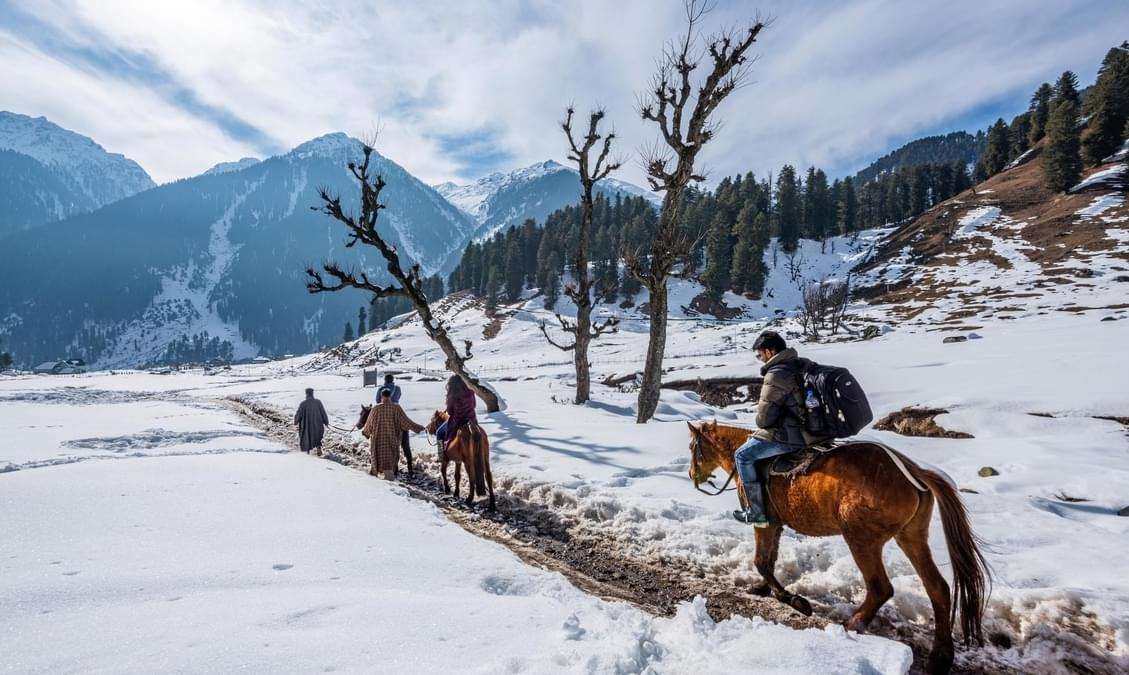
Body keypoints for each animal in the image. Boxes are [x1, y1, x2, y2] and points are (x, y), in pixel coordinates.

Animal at [687, 420, 989, 675]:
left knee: (881, 587)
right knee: (938, 588)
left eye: (692, 447)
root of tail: (913, 472)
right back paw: (941, 657)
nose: (692, 475)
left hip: (862, 539)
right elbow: (768, 559)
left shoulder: (765, 522)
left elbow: (761, 561)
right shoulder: (776, 526)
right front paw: (762, 589)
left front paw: (794, 600)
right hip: (911, 537)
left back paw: (853, 624)